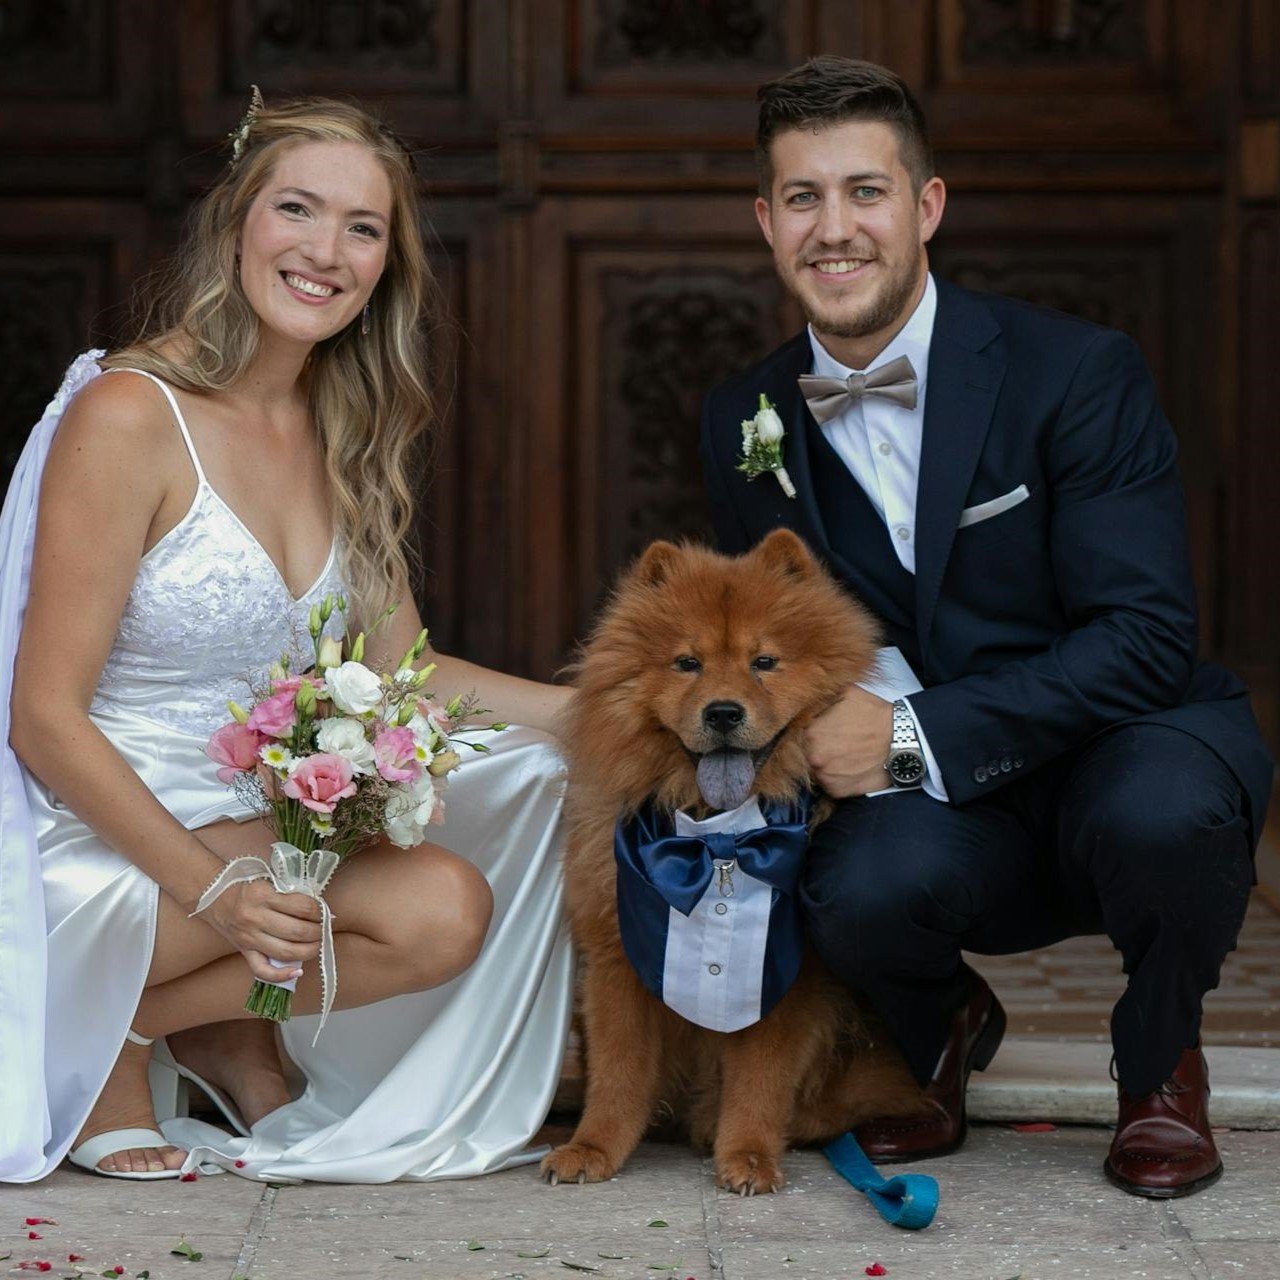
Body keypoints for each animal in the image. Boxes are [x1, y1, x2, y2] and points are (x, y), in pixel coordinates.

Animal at [540, 527, 921, 1187]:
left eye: (763, 662)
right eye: (687, 663)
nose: (722, 711)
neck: (715, 835)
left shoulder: (789, 976)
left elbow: (760, 1079)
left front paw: (747, 1156)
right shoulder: (618, 956)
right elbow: (617, 1074)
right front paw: (592, 1148)